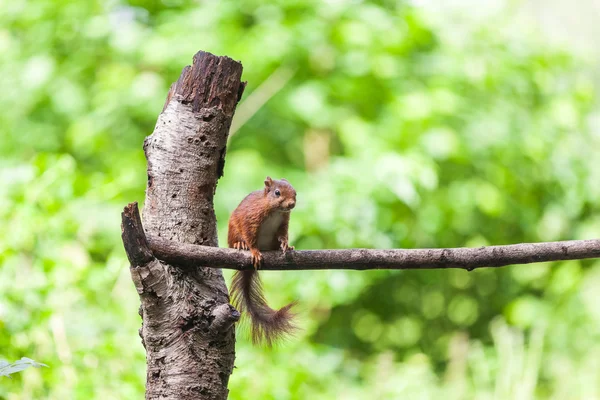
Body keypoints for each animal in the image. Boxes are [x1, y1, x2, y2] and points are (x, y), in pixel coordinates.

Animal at [227, 177, 298, 346]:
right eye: (277, 192)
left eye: (295, 192)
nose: (291, 204)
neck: (276, 211)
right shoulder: (251, 217)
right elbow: (250, 235)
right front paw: (253, 251)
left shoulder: (284, 222)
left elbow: (283, 235)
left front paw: (286, 245)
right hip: (233, 230)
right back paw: (240, 244)